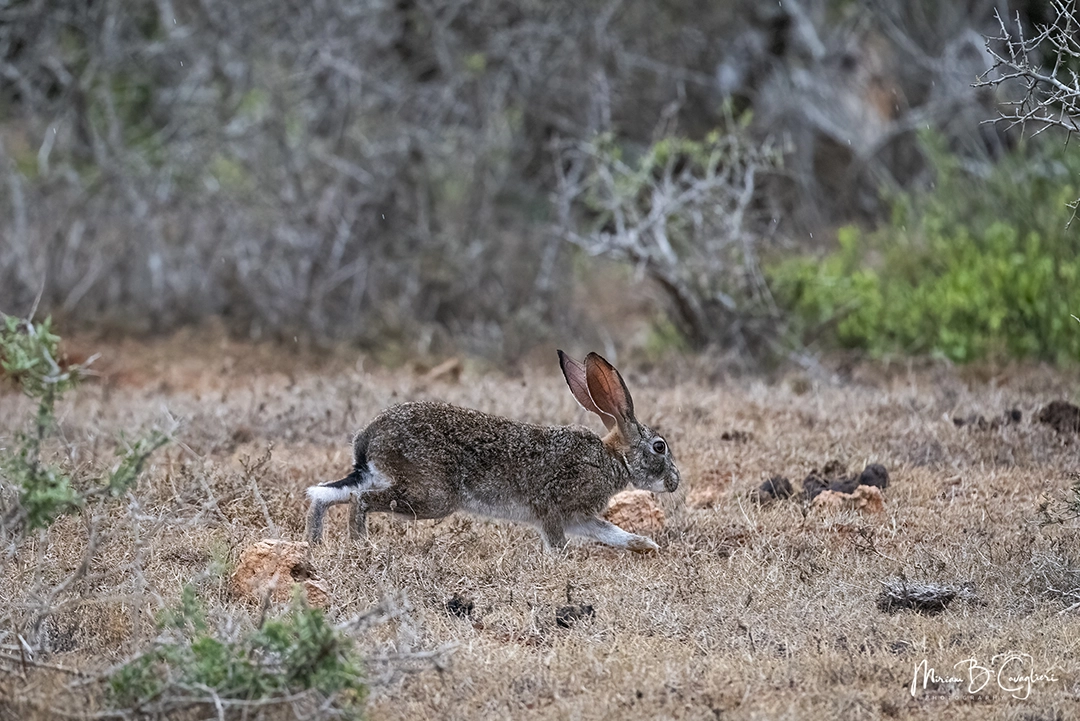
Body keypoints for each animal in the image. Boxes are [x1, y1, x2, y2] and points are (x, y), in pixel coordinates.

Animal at [305, 350, 680, 552]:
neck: (614, 459)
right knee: (360, 501)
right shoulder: (554, 510)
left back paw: (314, 543)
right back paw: (360, 545)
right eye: (659, 446)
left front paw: (645, 545)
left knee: (326, 495)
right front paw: (562, 562)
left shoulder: (579, 517)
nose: (675, 481)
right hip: (432, 495)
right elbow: (558, 542)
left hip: (383, 478)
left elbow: (610, 532)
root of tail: (369, 436)